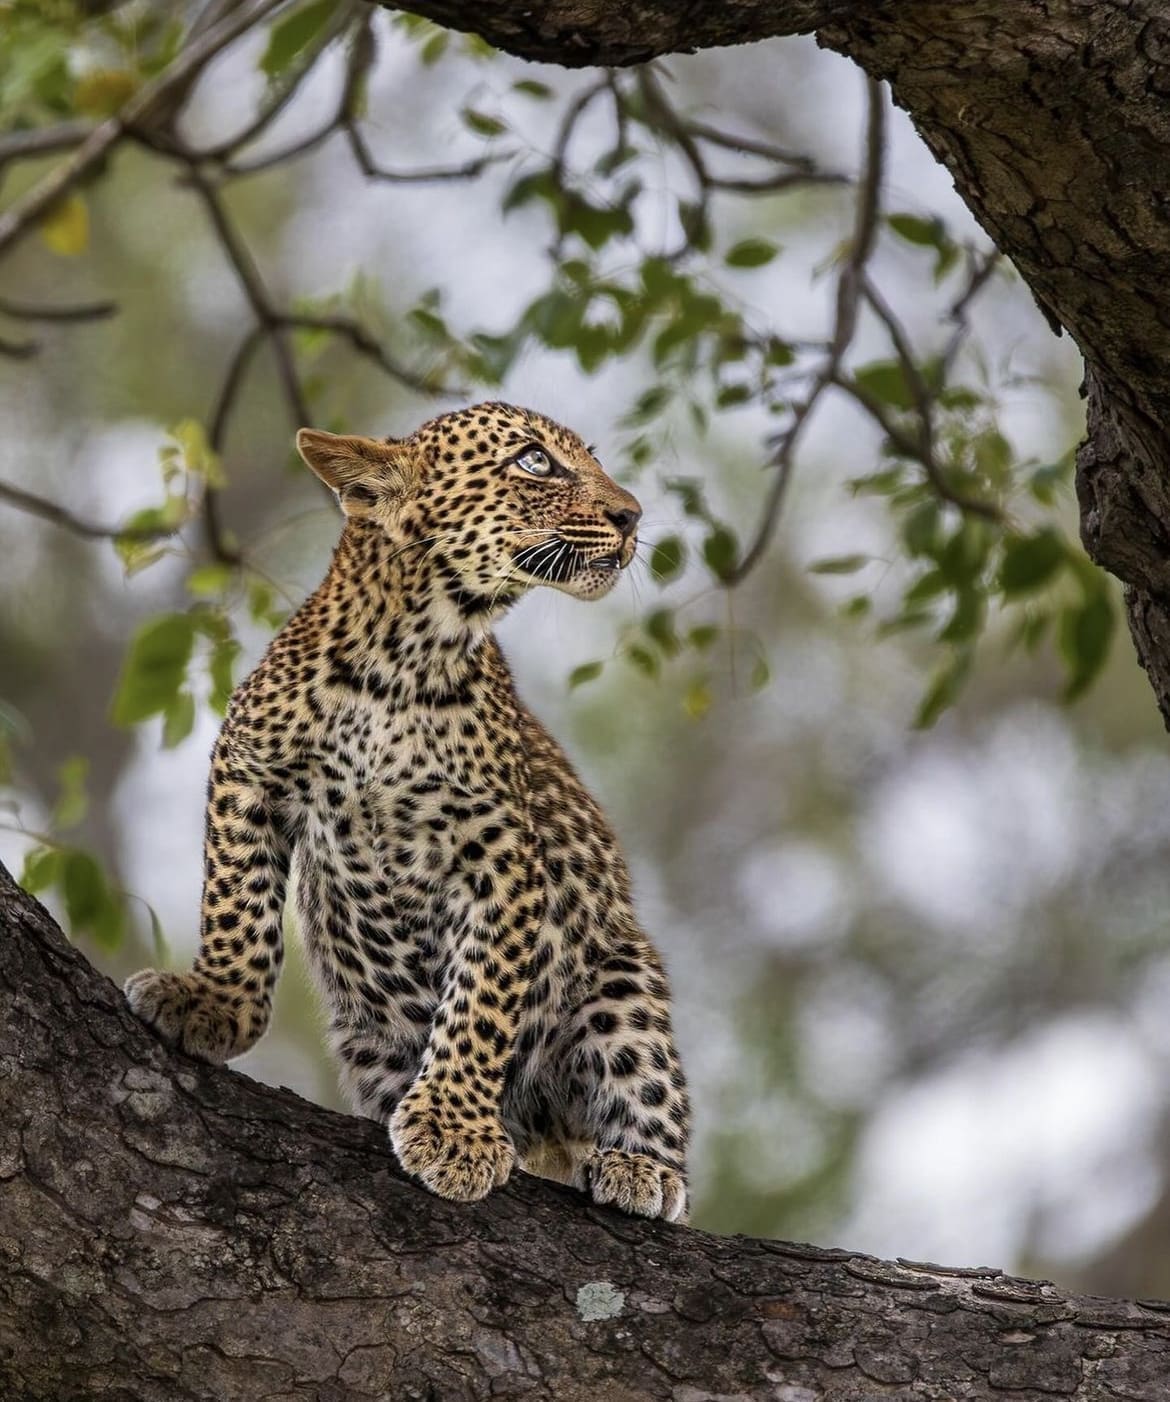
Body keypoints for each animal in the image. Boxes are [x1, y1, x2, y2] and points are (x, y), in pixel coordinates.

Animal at [124, 401, 690, 1221]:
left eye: (590, 461)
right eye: (535, 462)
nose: (631, 514)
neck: (409, 657)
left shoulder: (501, 850)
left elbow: (481, 999)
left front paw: (454, 1129)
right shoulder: (247, 773)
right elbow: (237, 909)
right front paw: (215, 1005)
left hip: (624, 985)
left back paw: (639, 1169)